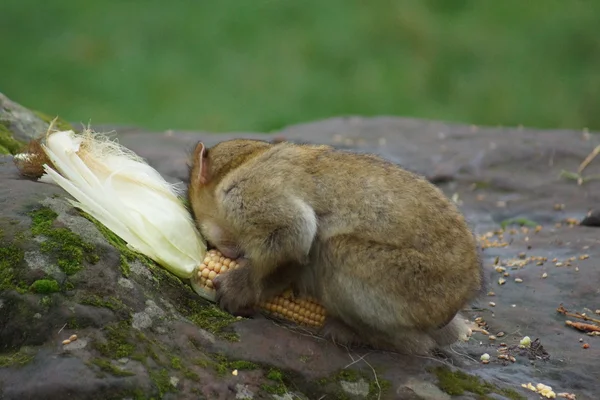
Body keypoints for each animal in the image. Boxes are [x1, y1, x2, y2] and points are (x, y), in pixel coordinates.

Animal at [188, 139, 482, 354]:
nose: (224, 250)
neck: (245, 161)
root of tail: (461, 293)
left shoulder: (242, 192)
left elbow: (294, 232)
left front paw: (245, 287)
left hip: (420, 288)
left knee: (335, 252)